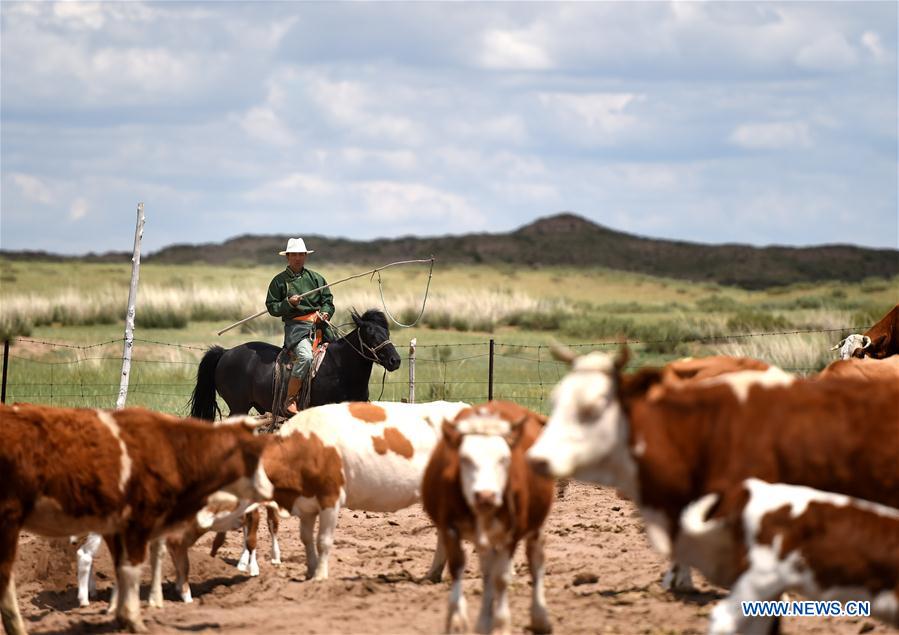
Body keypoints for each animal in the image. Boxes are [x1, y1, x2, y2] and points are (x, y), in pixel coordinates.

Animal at [190, 310, 400, 420]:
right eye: (370, 334)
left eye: (387, 333)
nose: (395, 360)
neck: (341, 367)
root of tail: (225, 352)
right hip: (238, 407)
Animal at [422, 402, 556, 635]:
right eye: (465, 459)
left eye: (504, 459)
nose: (485, 496)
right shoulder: (449, 527)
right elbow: (458, 567)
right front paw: (457, 619)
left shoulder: (510, 534)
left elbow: (501, 577)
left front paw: (501, 624)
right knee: (487, 572)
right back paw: (484, 622)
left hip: (535, 526)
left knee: (535, 559)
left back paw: (540, 617)